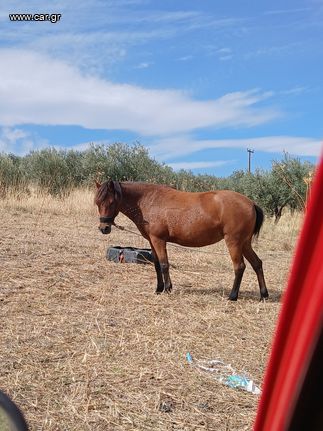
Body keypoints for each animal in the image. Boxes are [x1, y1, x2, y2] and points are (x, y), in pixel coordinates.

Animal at [94, 181, 268, 300]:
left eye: (111, 202)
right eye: (97, 202)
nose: (104, 228)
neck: (149, 201)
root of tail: (251, 203)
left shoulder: (159, 240)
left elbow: (164, 265)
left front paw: (167, 289)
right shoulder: (152, 241)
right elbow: (157, 265)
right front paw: (158, 289)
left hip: (234, 242)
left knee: (239, 267)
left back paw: (232, 296)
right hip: (245, 243)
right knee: (257, 264)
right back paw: (263, 294)